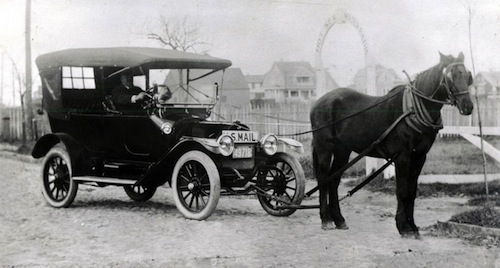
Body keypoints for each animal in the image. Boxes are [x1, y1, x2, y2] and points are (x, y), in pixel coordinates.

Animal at [310, 52, 474, 237]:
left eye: (467, 76)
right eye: (450, 77)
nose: (468, 106)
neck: (412, 109)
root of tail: (320, 101)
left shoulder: (419, 156)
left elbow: (411, 191)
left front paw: (413, 226)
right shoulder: (402, 156)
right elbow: (402, 191)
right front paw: (403, 227)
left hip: (342, 149)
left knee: (334, 179)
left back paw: (339, 219)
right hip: (324, 146)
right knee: (323, 177)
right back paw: (326, 219)